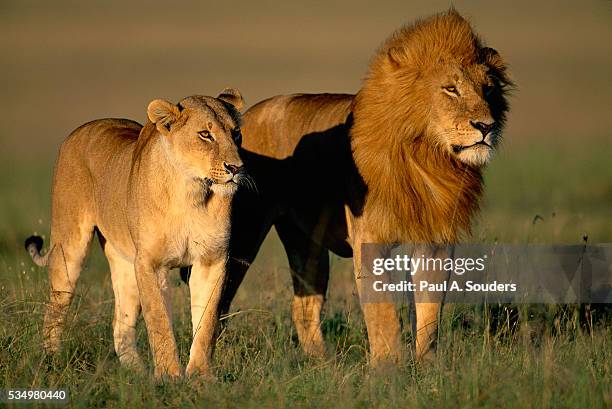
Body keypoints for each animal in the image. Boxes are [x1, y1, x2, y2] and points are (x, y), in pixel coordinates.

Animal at [25, 87, 246, 378]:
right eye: (205, 135)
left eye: (236, 133)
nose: (236, 168)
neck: (192, 193)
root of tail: (79, 130)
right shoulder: (150, 263)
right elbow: (159, 322)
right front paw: (169, 377)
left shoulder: (212, 260)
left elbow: (206, 323)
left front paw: (199, 377)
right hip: (69, 247)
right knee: (55, 307)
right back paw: (52, 361)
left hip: (124, 262)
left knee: (120, 323)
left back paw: (136, 373)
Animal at [215, 11, 512, 364]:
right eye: (450, 89)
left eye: (488, 90)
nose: (486, 126)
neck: (427, 157)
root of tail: (246, 116)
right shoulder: (370, 238)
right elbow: (383, 313)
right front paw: (388, 367)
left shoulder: (436, 240)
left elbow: (430, 312)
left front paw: (427, 365)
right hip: (243, 236)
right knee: (218, 300)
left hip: (306, 242)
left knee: (304, 304)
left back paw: (322, 364)